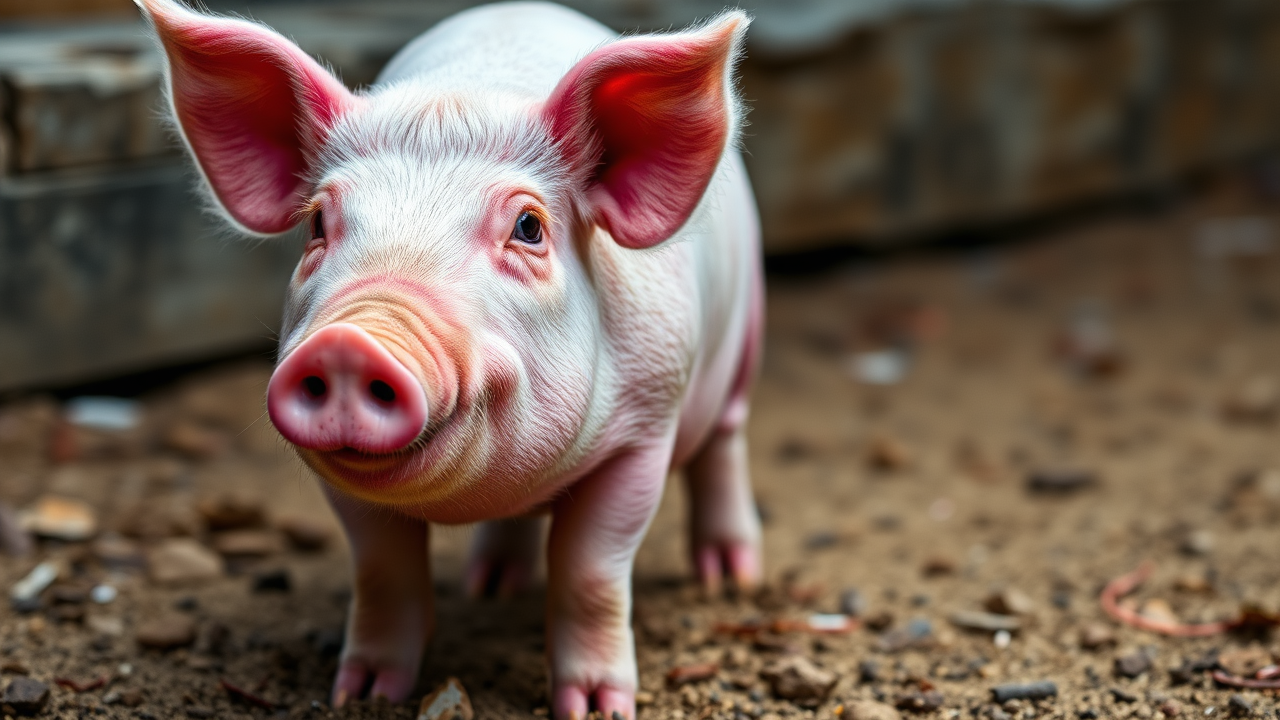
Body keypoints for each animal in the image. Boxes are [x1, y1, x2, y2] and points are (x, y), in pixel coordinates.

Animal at [138, 2, 757, 712]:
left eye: (529, 227)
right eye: (318, 223)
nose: (350, 342)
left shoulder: (646, 427)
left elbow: (592, 569)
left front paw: (597, 710)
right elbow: (382, 568)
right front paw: (363, 695)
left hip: (746, 332)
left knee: (725, 443)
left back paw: (730, 579)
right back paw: (490, 587)